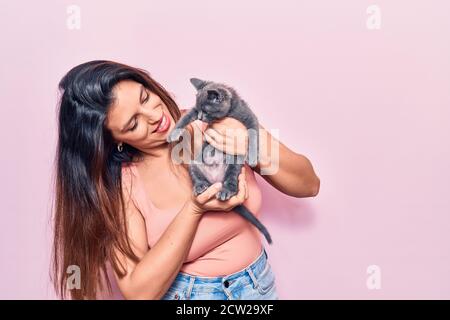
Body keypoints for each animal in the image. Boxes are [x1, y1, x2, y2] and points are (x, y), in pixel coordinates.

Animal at [165, 77, 270, 242]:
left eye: (206, 111)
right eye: (199, 110)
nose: (200, 118)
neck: (228, 113)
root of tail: (215, 182)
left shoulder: (249, 117)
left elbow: (253, 135)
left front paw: (253, 157)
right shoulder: (192, 112)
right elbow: (185, 117)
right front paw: (173, 133)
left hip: (233, 165)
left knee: (231, 180)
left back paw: (226, 191)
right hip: (194, 164)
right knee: (198, 176)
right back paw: (200, 186)